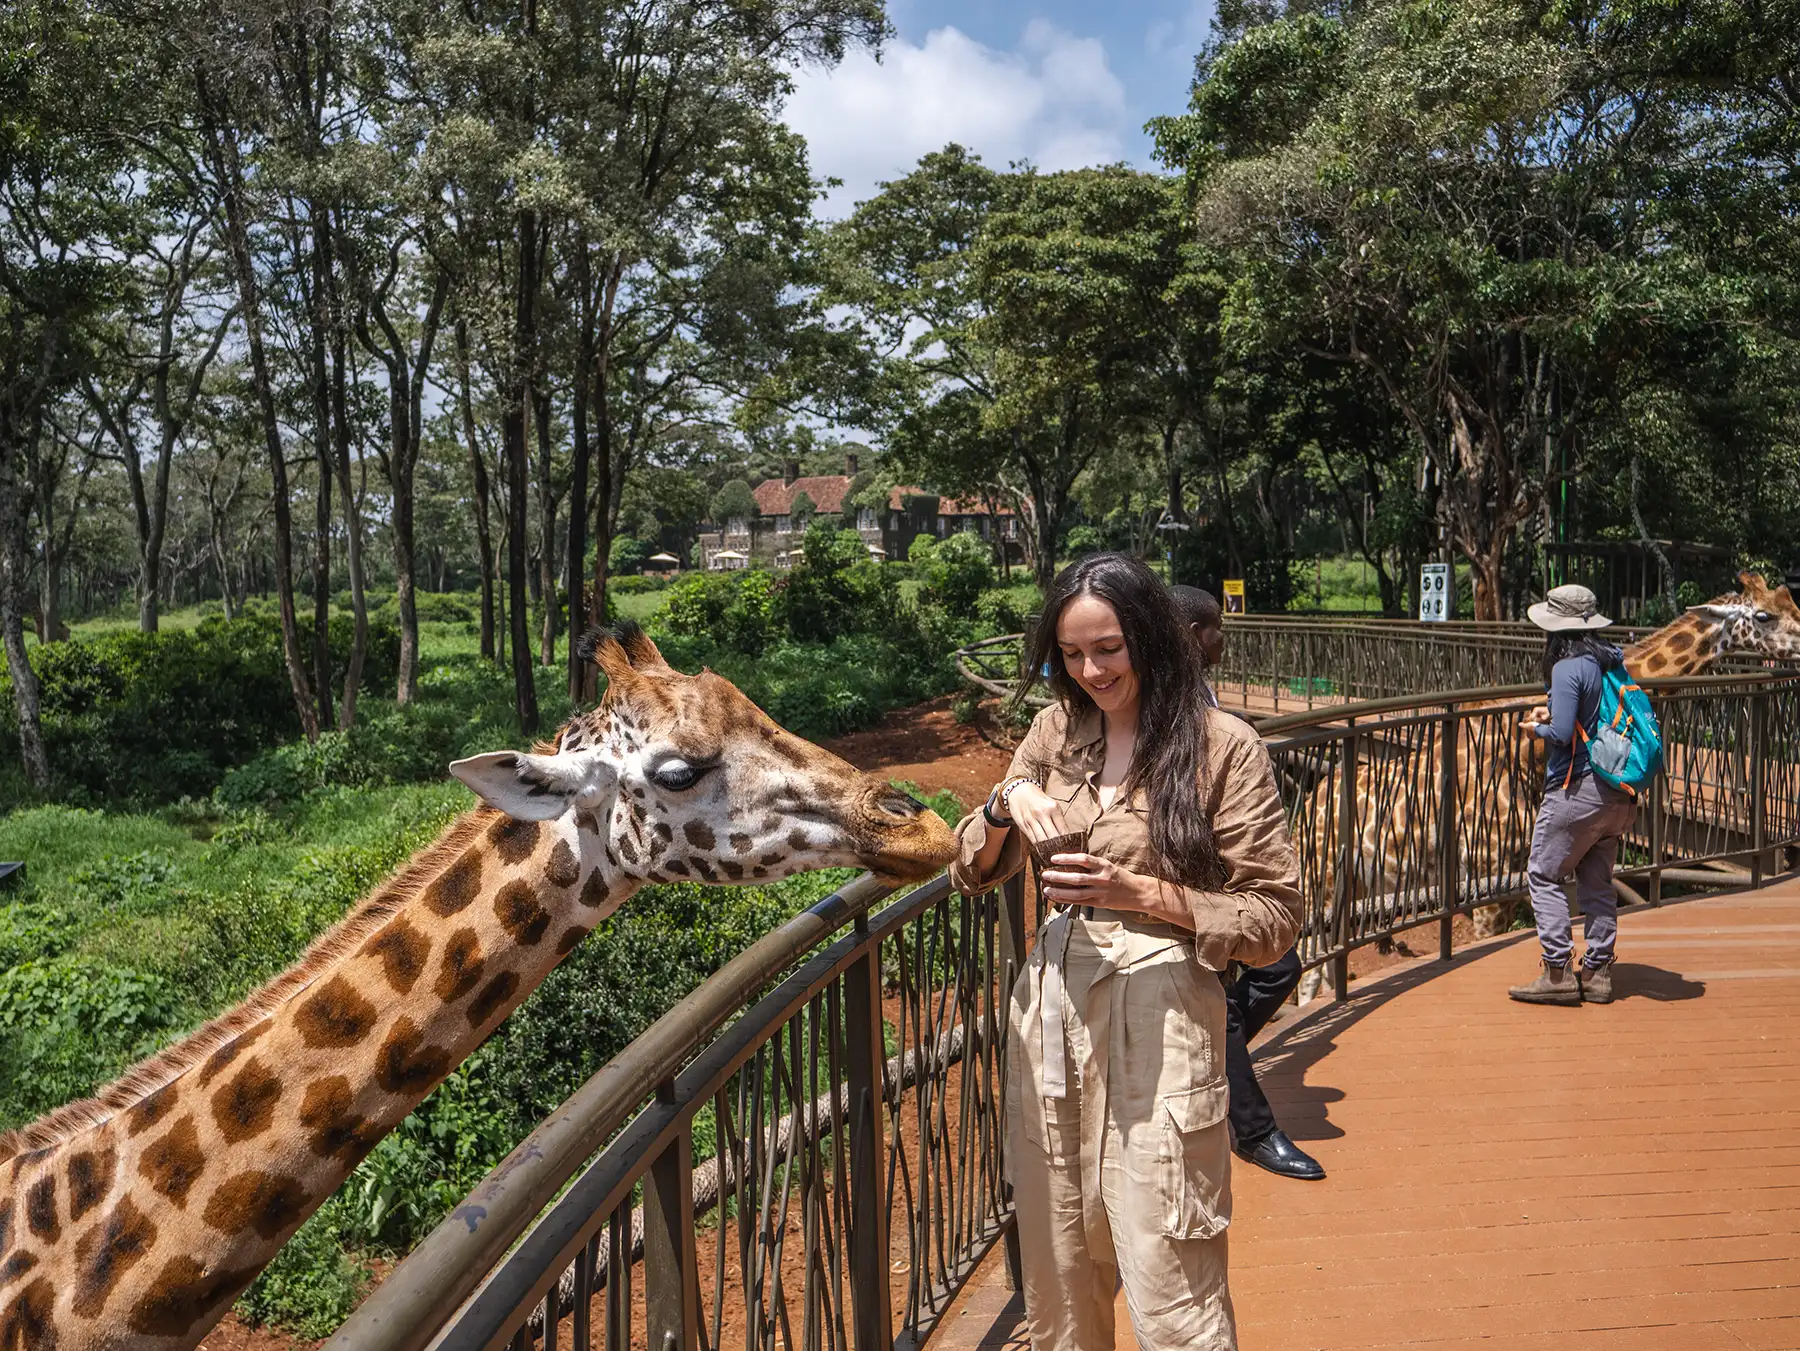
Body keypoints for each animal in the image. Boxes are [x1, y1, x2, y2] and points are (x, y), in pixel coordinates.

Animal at [1293, 573, 1800, 1001]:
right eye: (1763, 615)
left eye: (1791, 603)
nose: (1799, 646)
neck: (1526, 754)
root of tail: (1306, 814)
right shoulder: (1487, 870)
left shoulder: (1515, 868)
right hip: (1321, 885)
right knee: (1307, 969)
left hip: (1351, 886)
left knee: (1319, 969)